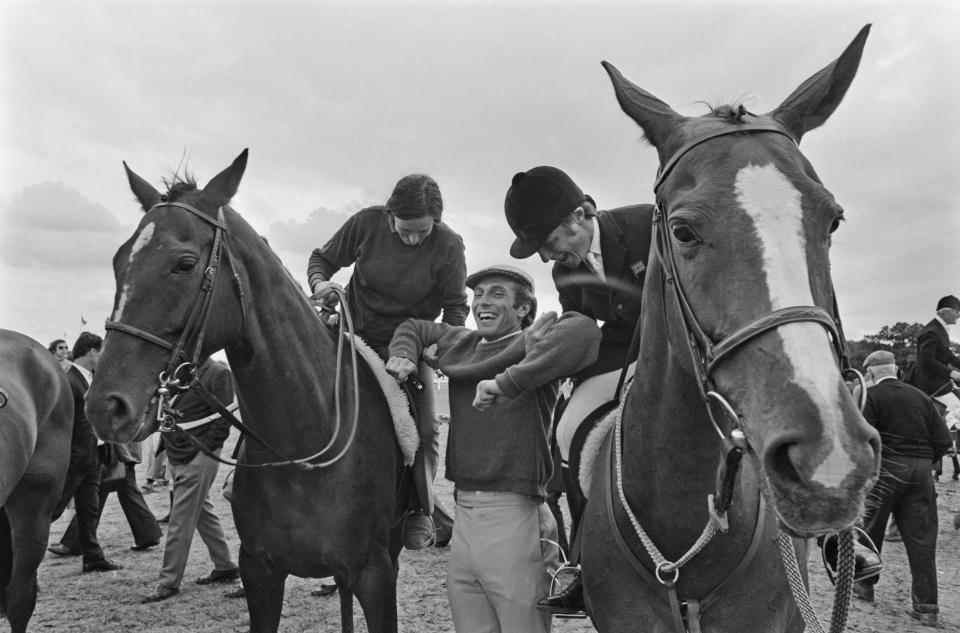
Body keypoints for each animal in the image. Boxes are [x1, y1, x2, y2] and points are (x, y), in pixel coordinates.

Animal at [84, 153, 406, 632]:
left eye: (184, 263)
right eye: (119, 261)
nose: (105, 405)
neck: (302, 448)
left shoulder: (375, 572)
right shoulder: (260, 570)